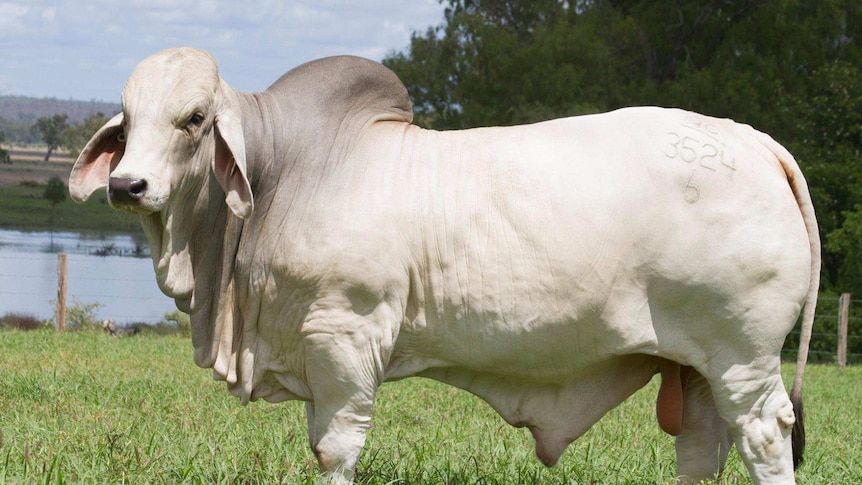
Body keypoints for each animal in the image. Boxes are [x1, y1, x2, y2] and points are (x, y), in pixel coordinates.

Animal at [67, 46, 816, 484]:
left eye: (194, 118)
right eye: (127, 120)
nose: (127, 184)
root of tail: (755, 141)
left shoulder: (345, 336)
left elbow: (335, 448)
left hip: (743, 357)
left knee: (763, 437)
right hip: (698, 367)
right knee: (703, 446)